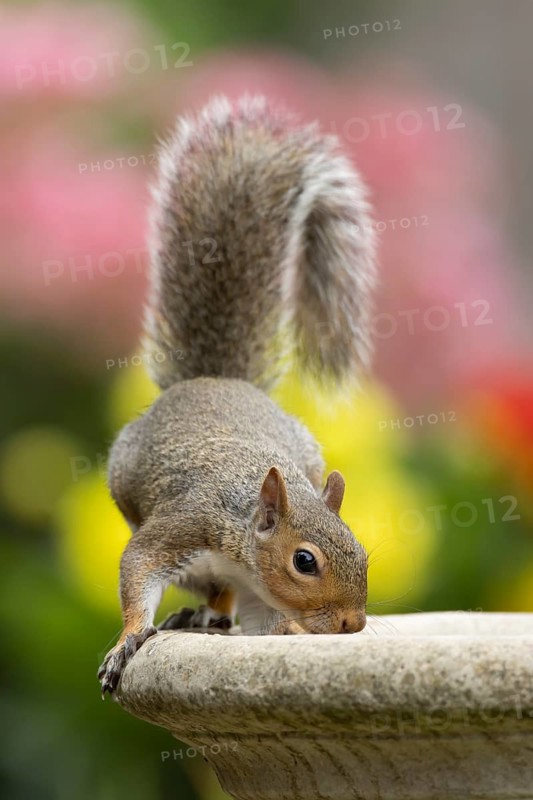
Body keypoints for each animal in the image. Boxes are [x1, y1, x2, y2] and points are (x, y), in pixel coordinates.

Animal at [98, 95, 376, 696]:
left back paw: (210, 615)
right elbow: (137, 568)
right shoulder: (183, 526)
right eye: (304, 562)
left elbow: (262, 621)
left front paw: (291, 632)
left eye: (362, 549)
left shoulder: (256, 591)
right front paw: (128, 639)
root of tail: (214, 381)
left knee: (222, 601)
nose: (353, 625)